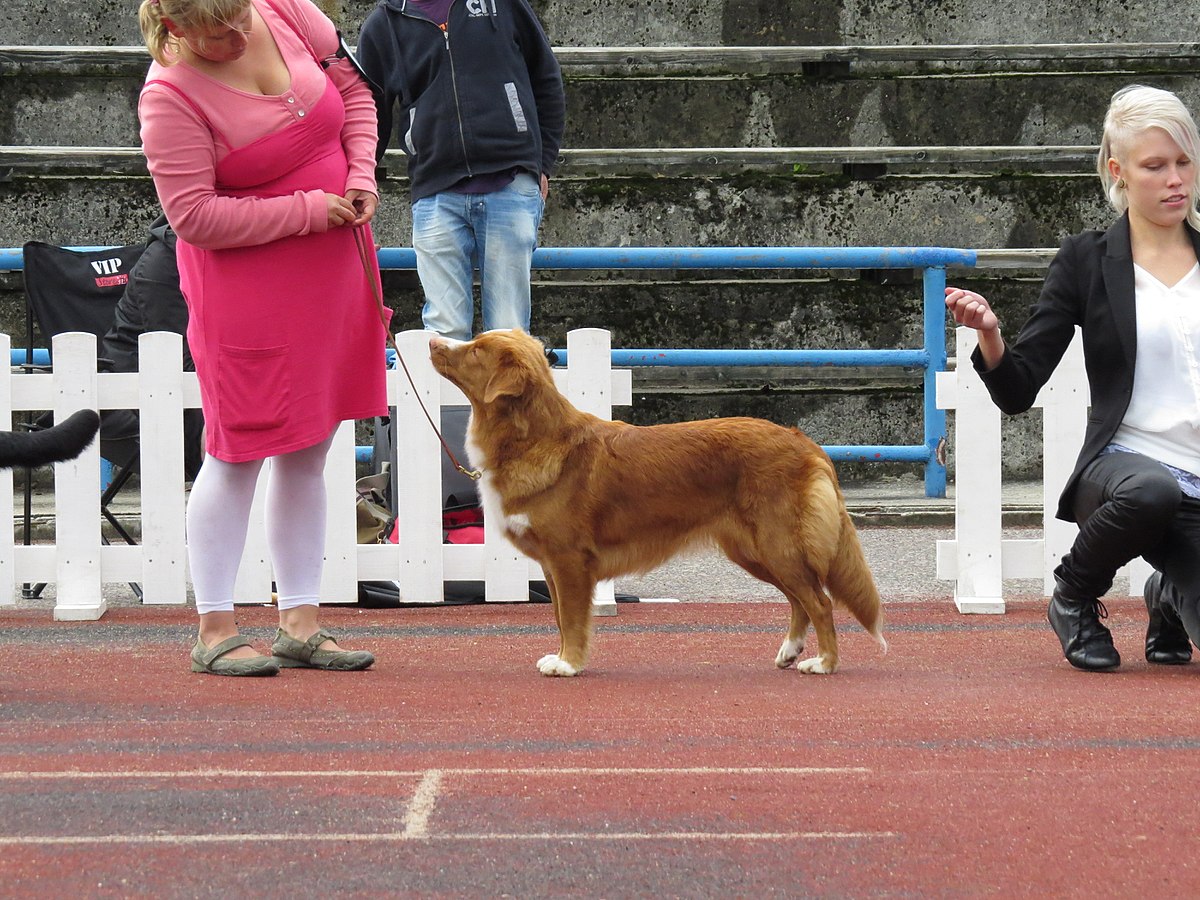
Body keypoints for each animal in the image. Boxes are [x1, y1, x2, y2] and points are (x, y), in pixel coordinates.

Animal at [429, 328, 883, 676]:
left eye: (475, 350)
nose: (432, 340)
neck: (533, 438)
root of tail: (802, 440)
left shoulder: (570, 560)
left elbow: (572, 619)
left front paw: (569, 664)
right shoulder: (552, 564)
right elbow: (558, 616)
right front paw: (560, 657)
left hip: (777, 543)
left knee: (820, 601)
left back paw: (824, 663)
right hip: (755, 551)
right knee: (799, 599)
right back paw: (790, 651)